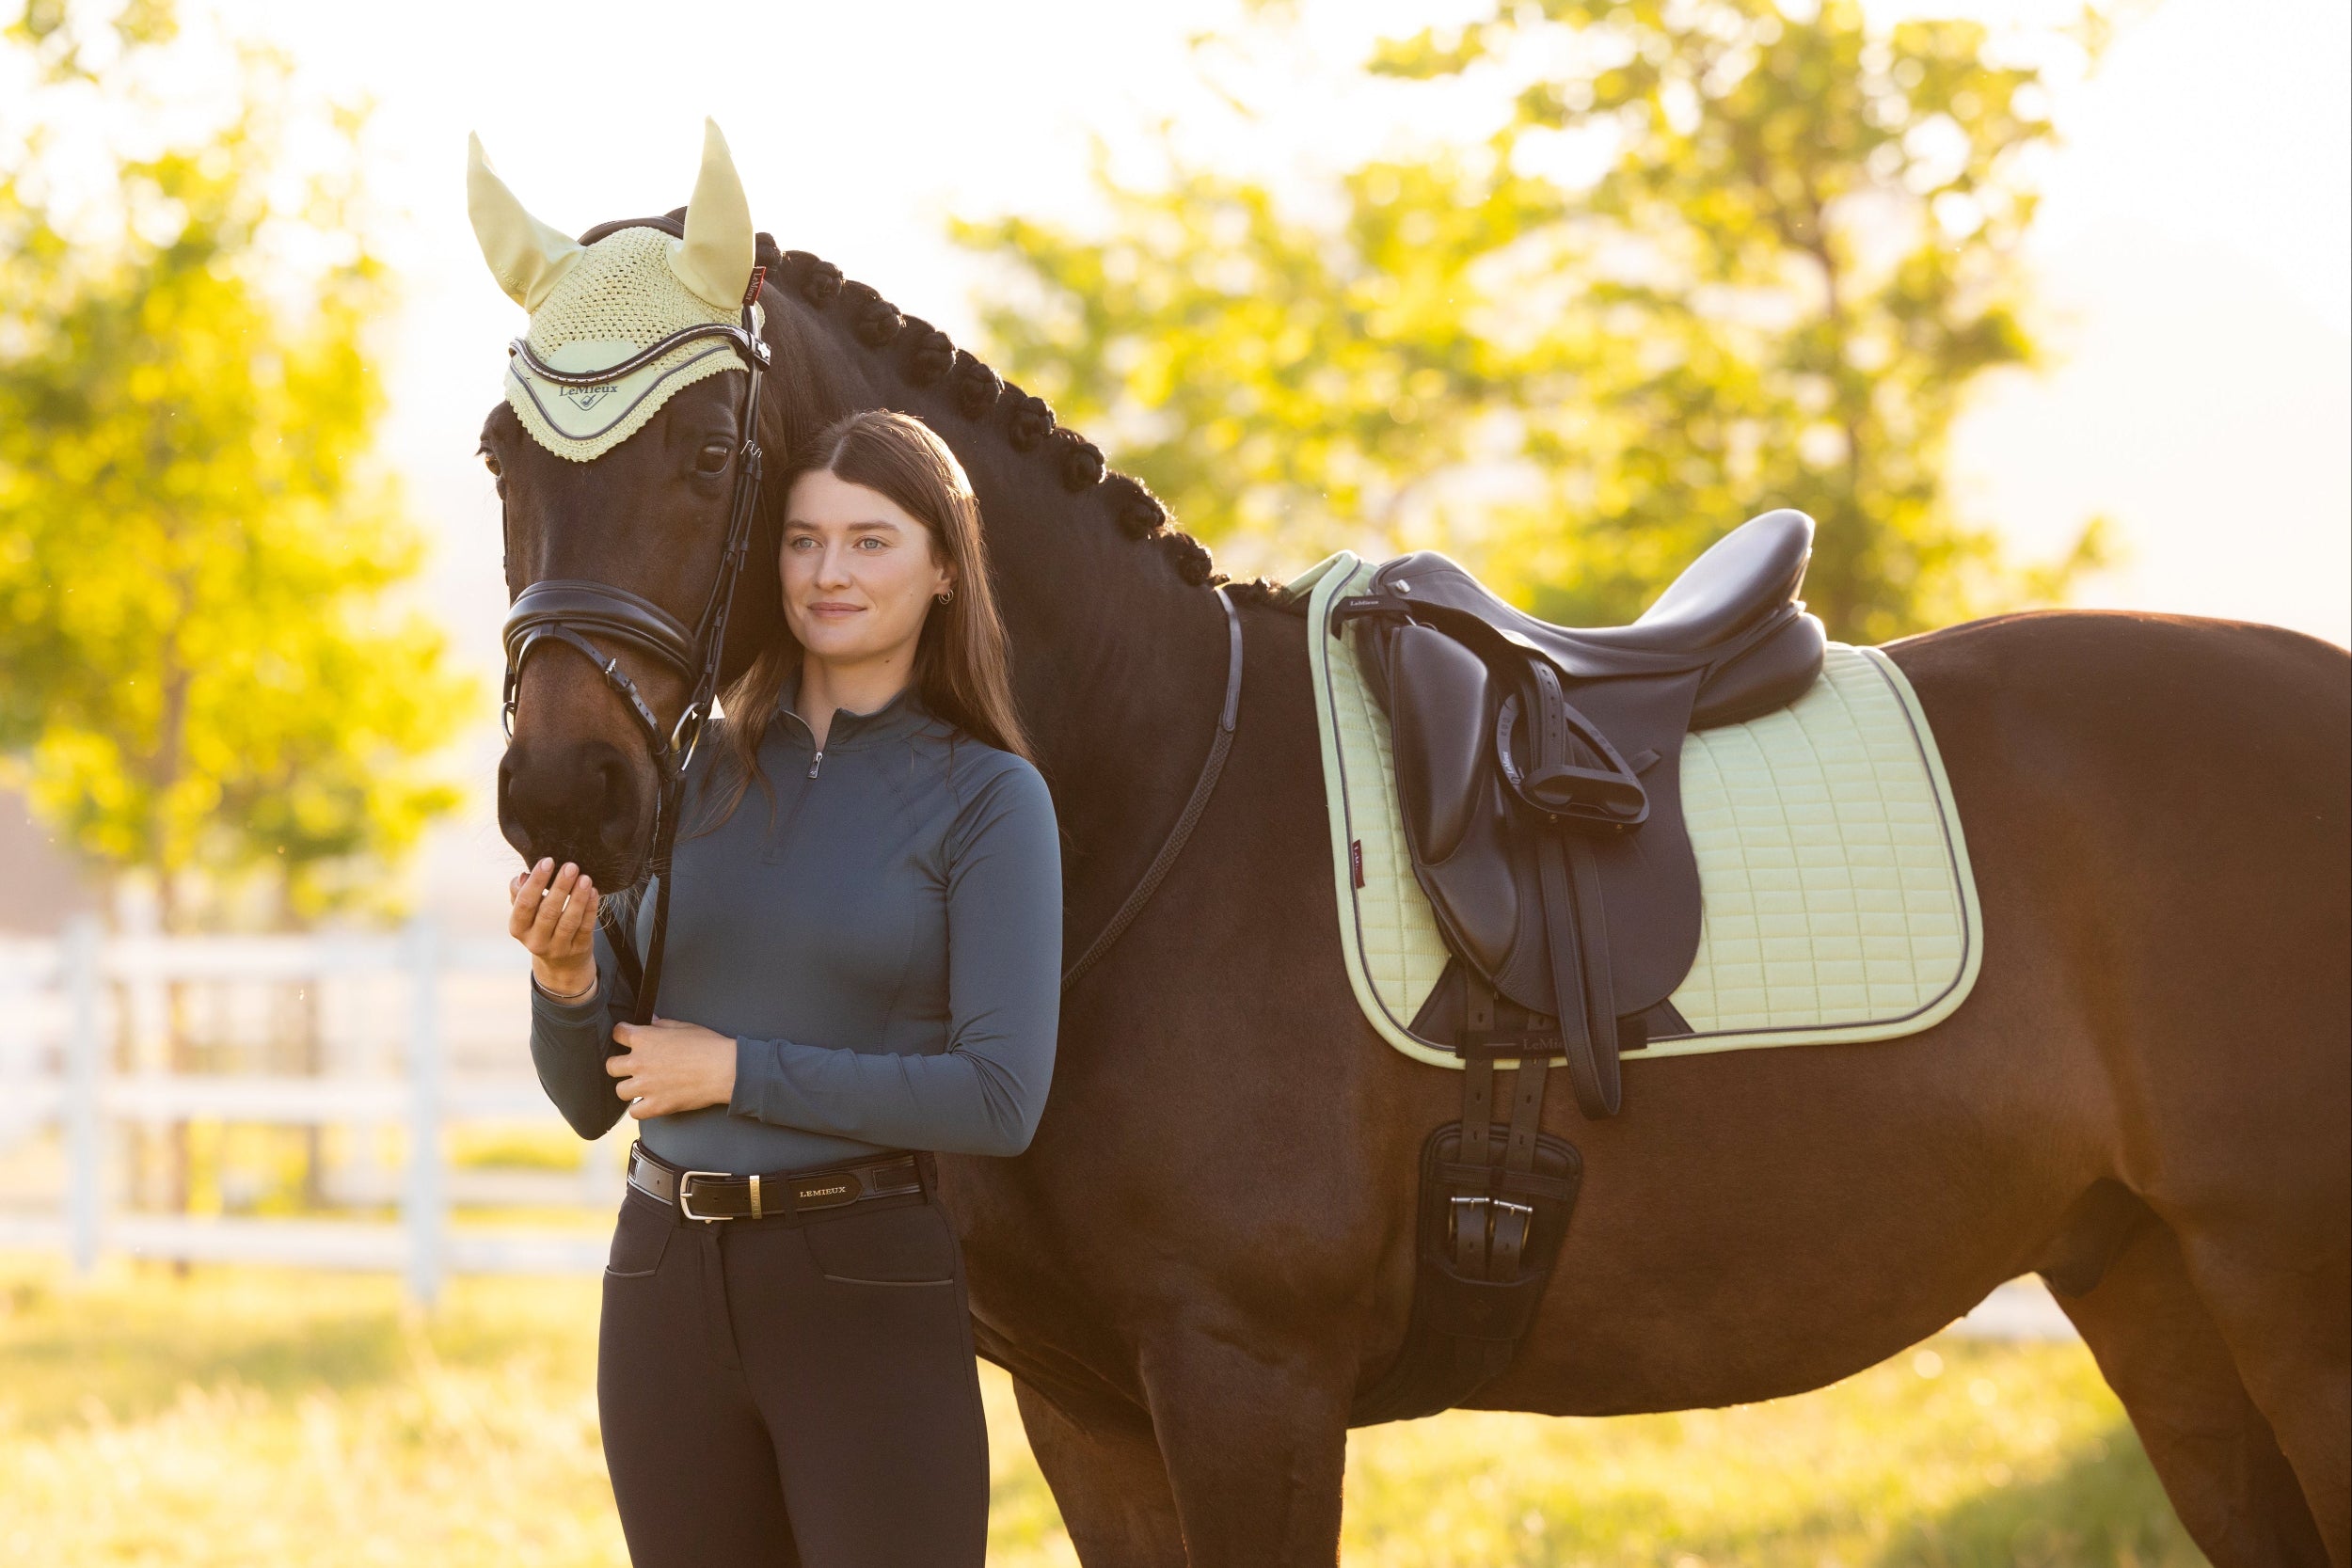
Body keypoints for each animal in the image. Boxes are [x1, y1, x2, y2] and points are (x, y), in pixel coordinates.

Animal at [481, 205, 2351, 1563]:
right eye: (507, 454)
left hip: (2288, 1298)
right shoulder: (1093, 1411)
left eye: (710, 459)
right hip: (2159, 1288)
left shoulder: (1251, 1381)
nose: (563, 788)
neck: (1142, 804)